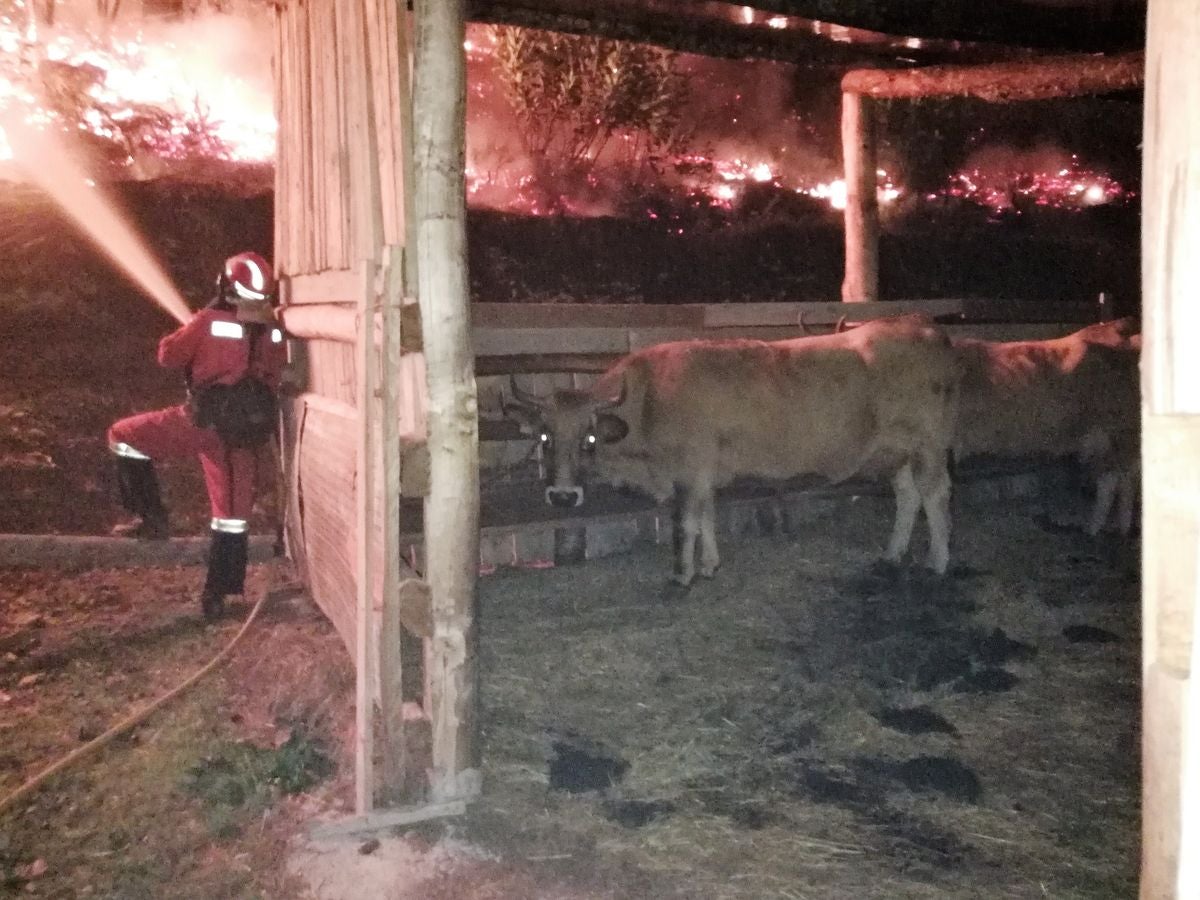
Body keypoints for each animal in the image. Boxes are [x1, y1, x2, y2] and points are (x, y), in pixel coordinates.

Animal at [950, 316, 1137, 535]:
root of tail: (1115, 325)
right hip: (1104, 437)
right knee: (1111, 480)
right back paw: (1094, 529)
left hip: (1120, 431)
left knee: (1124, 482)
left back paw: (1120, 530)